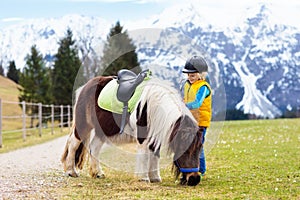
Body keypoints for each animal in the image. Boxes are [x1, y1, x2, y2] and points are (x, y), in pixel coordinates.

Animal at [61, 73, 203, 186]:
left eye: (199, 149)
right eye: (184, 149)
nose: (194, 179)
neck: (152, 106)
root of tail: (84, 87)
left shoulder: (155, 136)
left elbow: (155, 155)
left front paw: (155, 177)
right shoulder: (143, 137)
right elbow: (144, 155)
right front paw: (144, 178)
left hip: (102, 131)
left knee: (94, 147)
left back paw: (98, 173)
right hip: (83, 126)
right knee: (73, 144)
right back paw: (71, 171)